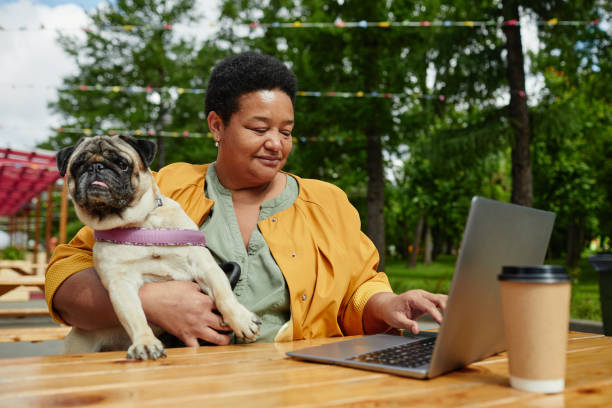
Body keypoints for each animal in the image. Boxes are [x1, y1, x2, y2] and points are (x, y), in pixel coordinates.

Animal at [57, 135, 262, 358]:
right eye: (77, 166)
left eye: (122, 164)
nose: (96, 166)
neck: (140, 225)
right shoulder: (120, 284)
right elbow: (135, 317)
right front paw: (145, 343)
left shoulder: (204, 266)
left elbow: (223, 294)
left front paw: (241, 319)